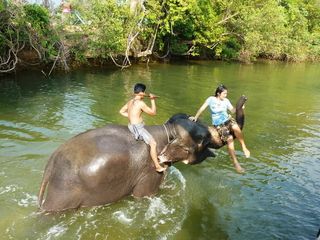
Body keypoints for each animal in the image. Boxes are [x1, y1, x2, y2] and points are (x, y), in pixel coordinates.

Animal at [38, 94, 248, 211]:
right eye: (203, 140)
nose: (244, 99)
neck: (167, 131)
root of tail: (50, 164)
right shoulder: (150, 171)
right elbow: (144, 195)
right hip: (64, 191)